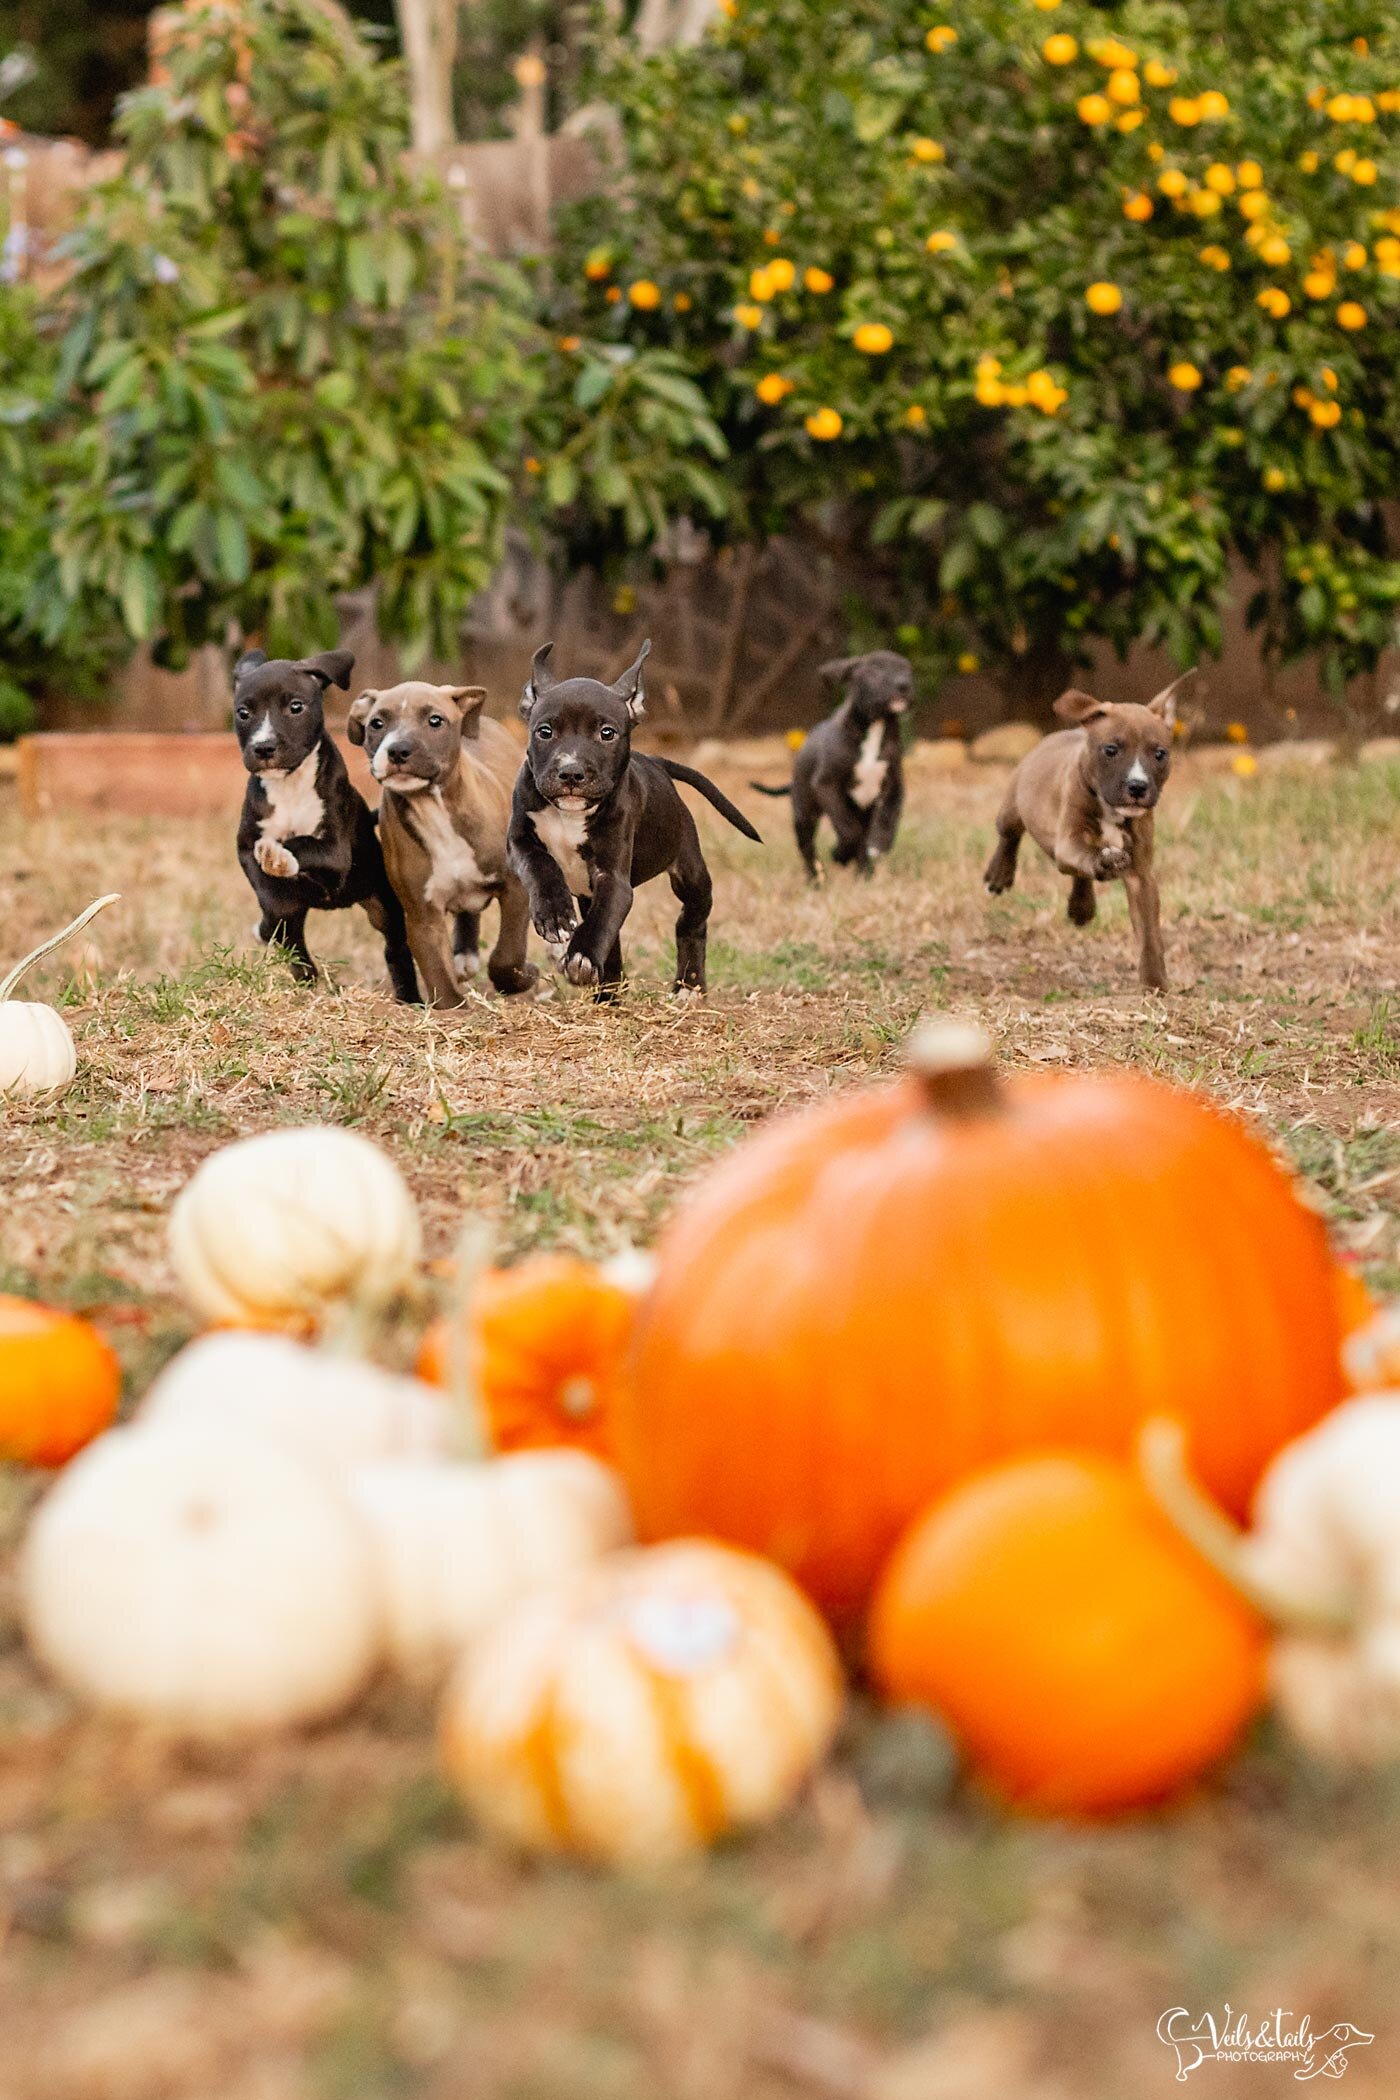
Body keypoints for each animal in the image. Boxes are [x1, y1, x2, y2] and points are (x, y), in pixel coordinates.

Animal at [232, 642, 419, 1003]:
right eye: (243, 713)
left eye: (295, 707)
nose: (263, 747)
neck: (290, 784)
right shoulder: (245, 846)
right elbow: (267, 892)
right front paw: (272, 901)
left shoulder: (335, 851)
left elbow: (304, 843)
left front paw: (280, 855)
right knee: (295, 946)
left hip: (384, 904)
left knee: (395, 949)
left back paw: (409, 997)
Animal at [348, 680, 537, 1007]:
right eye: (377, 723)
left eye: (435, 721)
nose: (398, 750)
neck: (432, 808)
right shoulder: (423, 916)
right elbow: (438, 976)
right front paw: (454, 1008)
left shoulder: (515, 888)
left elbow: (507, 955)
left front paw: (523, 978)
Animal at [505, 638, 759, 999]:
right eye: (545, 732)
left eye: (607, 733)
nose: (571, 772)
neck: (570, 815)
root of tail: (655, 760)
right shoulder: (520, 841)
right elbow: (540, 865)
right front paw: (554, 915)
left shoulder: (613, 879)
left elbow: (603, 921)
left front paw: (582, 956)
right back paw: (609, 994)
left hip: (690, 871)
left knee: (692, 920)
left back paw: (689, 984)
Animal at [755, 655, 919, 886]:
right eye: (874, 670)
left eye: (907, 670)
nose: (903, 684)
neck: (875, 728)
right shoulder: (826, 785)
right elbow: (847, 827)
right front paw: (840, 854)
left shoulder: (894, 786)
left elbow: (887, 819)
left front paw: (879, 844)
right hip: (804, 813)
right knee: (808, 848)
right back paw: (815, 879)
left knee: (861, 837)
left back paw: (864, 874)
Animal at [986, 676, 1192, 995]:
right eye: (1111, 750)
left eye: (1160, 754)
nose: (1137, 786)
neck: (1112, 812)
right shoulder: (1069, 840)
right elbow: (1086, 854)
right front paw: (1104, 861)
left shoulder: (1141, 877)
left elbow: (1149, 934)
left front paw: (1155, 983)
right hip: (1013, 806)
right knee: (1009, 836)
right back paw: (999, 873)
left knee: (1079, 876)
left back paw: (1081, 907)